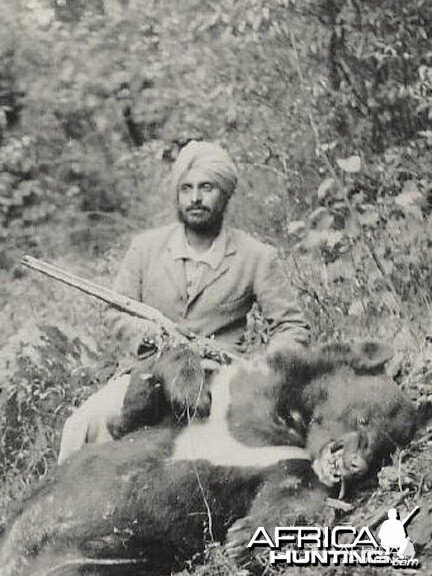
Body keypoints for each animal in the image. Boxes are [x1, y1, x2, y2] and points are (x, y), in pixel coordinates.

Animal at [0, 340, 416, 572]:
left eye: (385, 449)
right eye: (362, 419)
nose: (355, 466)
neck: (292, 424)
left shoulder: (289, 467)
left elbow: (294, 497)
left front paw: (241, 540)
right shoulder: (237, 392)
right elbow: (142, 407)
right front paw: (188, 391)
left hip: (94, 559)